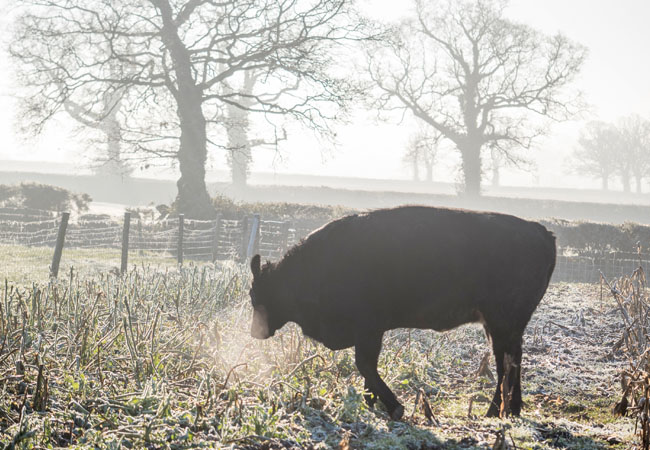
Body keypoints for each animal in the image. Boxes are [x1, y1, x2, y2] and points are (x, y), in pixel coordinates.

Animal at [247, 206, 552, 420]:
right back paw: (511, 410)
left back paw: (494, 411)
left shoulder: (369, 330)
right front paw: (371, 401)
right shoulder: (368, 333)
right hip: (502, 327)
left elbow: (365, 364)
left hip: (501, 324)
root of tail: (542, 231)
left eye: (255, 295)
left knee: (505, 366)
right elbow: (367, 366)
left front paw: (393, 407)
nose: (254, 332)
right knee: (512, 362)